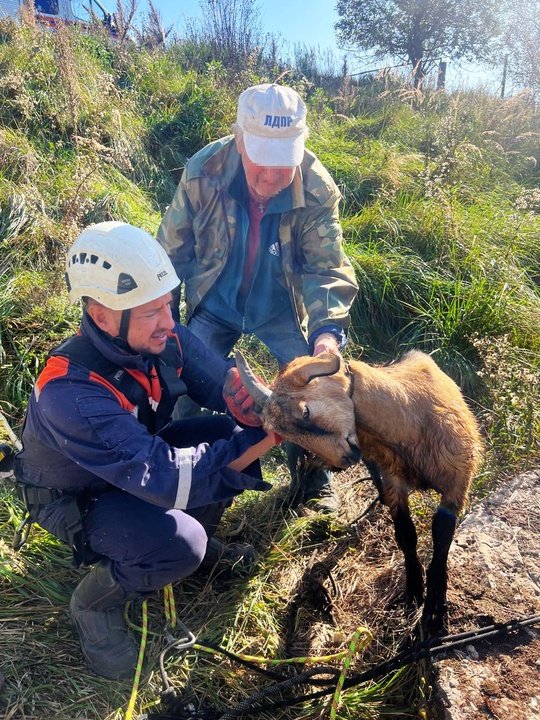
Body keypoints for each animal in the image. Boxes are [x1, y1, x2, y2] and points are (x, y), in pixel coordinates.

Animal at [236, 350, 486, 636]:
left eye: (305, 411)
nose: (344, 458)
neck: (408, 416)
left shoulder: (457, 482)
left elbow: (442, 537)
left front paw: (434, 613)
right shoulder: (393, 481)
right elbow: (405, 534)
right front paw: (413, 592)